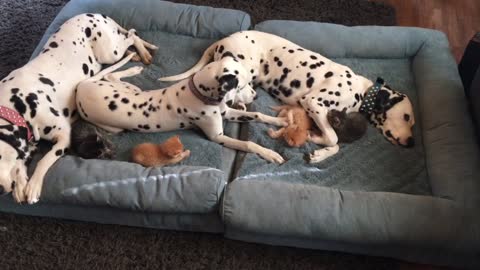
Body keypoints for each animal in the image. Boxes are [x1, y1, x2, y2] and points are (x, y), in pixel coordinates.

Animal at [0, 12, 158, 202]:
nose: (0, 190)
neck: (16, 102)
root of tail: (95, 14)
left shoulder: (63, 134)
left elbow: (44, 160)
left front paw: (33, 185)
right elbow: (20, 162)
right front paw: (20, 183)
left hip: (110, 52)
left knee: (132, 35)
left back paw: (143, 52)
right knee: (128, 38)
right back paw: (134, 54)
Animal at [75, 56, 288, 163]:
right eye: (241, 86)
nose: (256, 96)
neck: (198, 94)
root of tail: (81, 87)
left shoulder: (227, 113)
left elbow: (256, 114)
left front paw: (280, 121)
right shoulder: (217, 137)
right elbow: (248, 144)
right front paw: (270, 154)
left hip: (131, 88)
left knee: (111, 76)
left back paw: (132, 70)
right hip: (114, 125)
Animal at [161, 31, 416, 162]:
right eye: (407, 118)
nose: (413, 143)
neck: (362, 92)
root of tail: (221, 41)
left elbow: (333, 140)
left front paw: (319, 149)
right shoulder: (314, 103)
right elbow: (334, 139)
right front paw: (319, 143)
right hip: (244, 70)